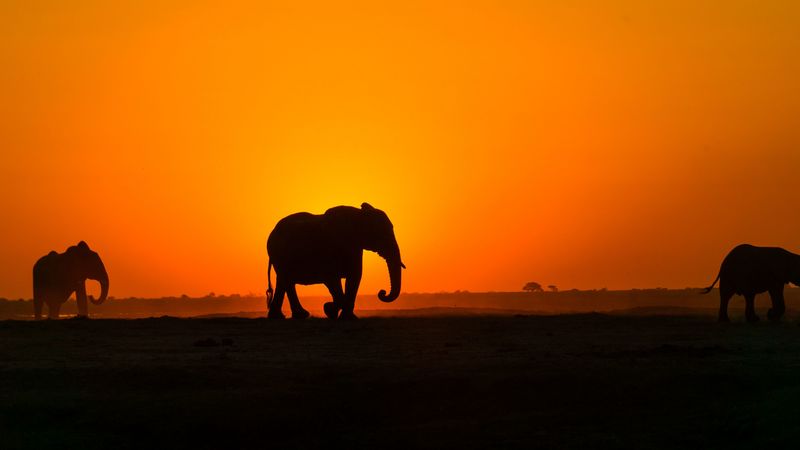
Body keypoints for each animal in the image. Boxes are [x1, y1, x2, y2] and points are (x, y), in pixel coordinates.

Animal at [266, 203, 405, 320]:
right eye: (381, 233)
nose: (382, 292)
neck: (359, 215)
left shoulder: (355, 247)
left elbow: (354, 278)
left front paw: (347, 317)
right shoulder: (330, 248)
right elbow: (332, 278)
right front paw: (329, 310)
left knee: (284, 281)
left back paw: (287, 316)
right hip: (279, 254)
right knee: (286, 280)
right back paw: (293, 316)